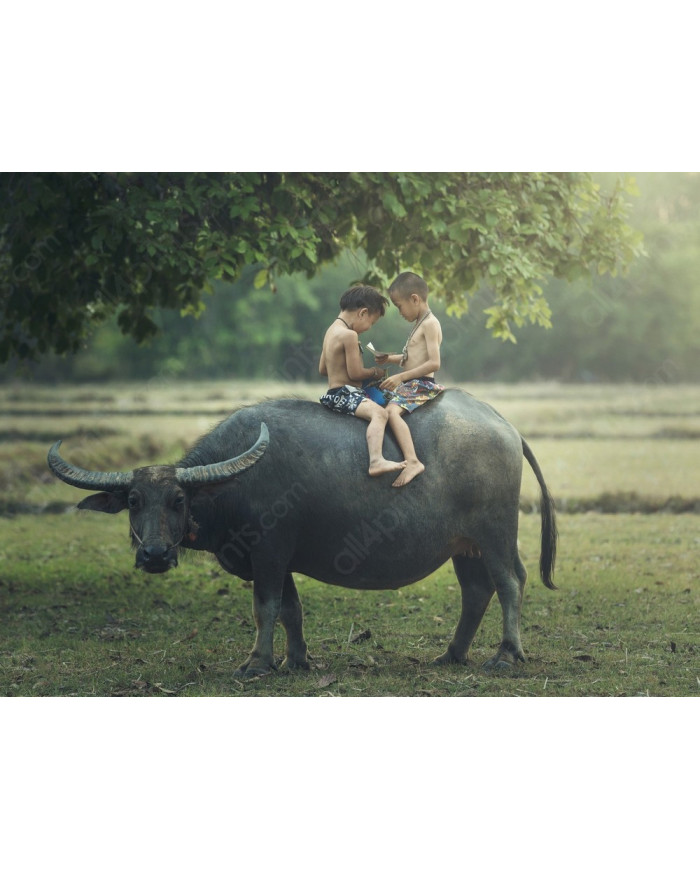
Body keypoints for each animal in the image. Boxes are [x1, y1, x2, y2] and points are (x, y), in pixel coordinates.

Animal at [48, 388, 557, 678]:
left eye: (177, 500)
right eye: (134, 501)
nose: (154, 554)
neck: (231, 485)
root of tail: (506, 427)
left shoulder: (269, 553)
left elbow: (265, 608)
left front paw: (256, 664)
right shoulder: (282, 560)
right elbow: (291, 611)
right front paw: (296, 661)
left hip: (495, 532)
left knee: (510, 582)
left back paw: (507, 656)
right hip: (463, 545)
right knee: (476, 591)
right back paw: (451, 655)